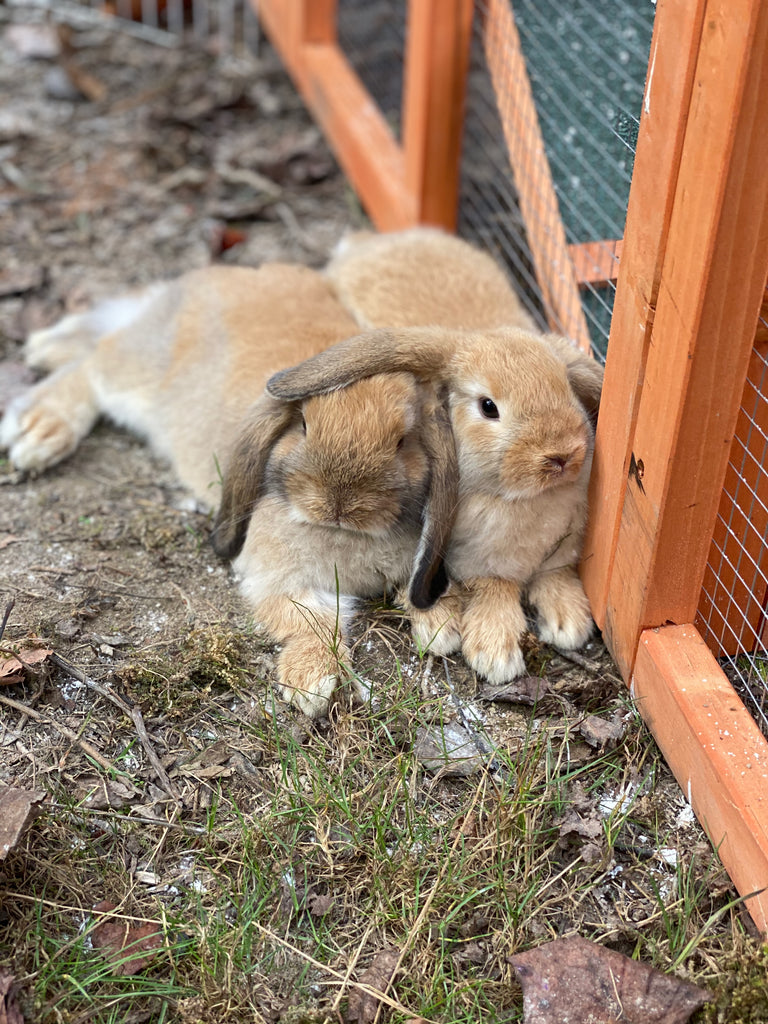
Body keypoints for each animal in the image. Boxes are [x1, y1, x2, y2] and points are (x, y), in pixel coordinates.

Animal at [0, 264, 456, 720]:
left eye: (402, 441)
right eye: (303, 424)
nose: (339, 503)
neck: (344, 534)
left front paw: (441, 628)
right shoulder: (278, 582)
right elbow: (312, 623)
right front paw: (310, 685)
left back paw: (44, 353)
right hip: (133, 378)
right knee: (92, 365)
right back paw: (39, 431)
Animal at [268, 228, 606, 684]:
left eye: (565, 387)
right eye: (487, 407)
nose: (562, 456)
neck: (523, 502)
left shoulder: (560, 555)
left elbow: (557, 575)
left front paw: (568, 622)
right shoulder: (480, 565)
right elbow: (495, 590)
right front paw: (495, 653)